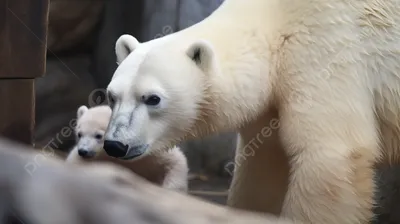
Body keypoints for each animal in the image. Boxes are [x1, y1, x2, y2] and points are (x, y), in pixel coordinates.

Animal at [102, 0, 400, 223]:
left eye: (153, 99)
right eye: (112, 96)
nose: (115, 144)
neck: (276, 19)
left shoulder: (325, 51)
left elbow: (332, 152)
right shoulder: (270, 104)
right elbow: (264, 164)